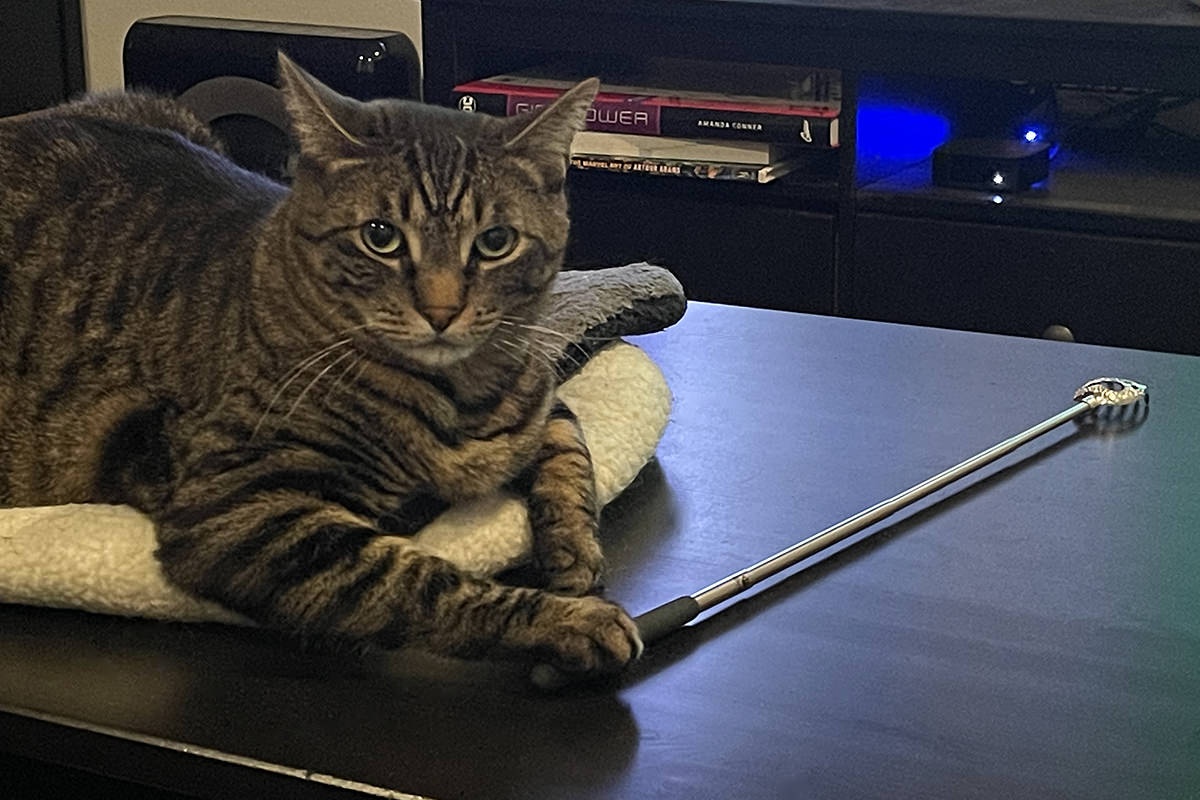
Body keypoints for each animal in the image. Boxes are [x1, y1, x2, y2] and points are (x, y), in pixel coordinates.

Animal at [0, 51, 643, 676]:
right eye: (381, 237)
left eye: (495, 242)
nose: (441, 311)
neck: (460, 393)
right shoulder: (241, 508)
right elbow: (417, 582)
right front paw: (570, 620)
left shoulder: (541, 398)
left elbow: (570, 456)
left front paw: (577, 560)